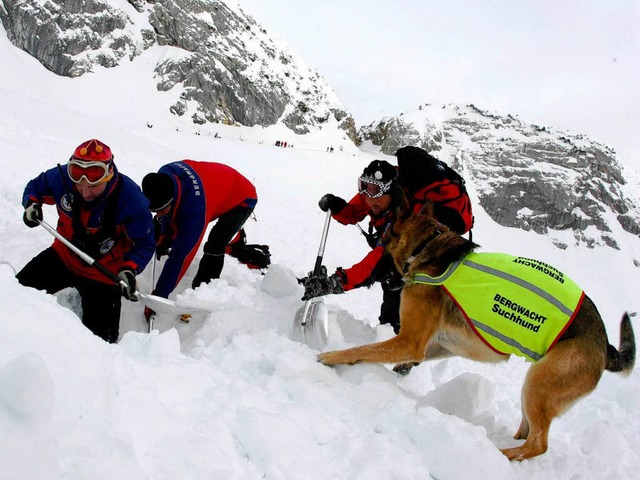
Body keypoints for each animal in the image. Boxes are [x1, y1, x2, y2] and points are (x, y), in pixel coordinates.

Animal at [318, 203, 632, 462]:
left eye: (383, 240)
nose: (353, 275)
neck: (426, 245)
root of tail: (606, 346)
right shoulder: (438, 343)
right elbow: (400, 357)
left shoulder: (410, 341)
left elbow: (363, 350)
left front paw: (331, 356)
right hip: (535, 386)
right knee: (529, 430)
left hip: (540, 382)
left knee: (539, 443)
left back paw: (503, 454)